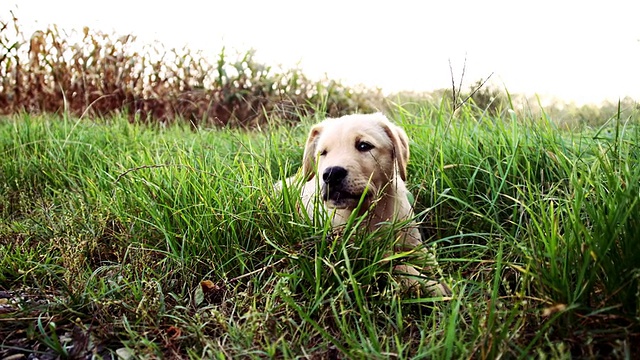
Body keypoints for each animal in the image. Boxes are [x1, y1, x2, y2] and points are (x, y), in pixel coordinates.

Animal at [280, 114, 450, 296]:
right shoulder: (364, 252)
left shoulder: (412, 241)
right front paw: (434, 287)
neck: (373, 211)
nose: (331, 174)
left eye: (363, 146)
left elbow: (429, 260)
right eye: (323, 153)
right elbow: (400, 266)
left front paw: (445, 283)